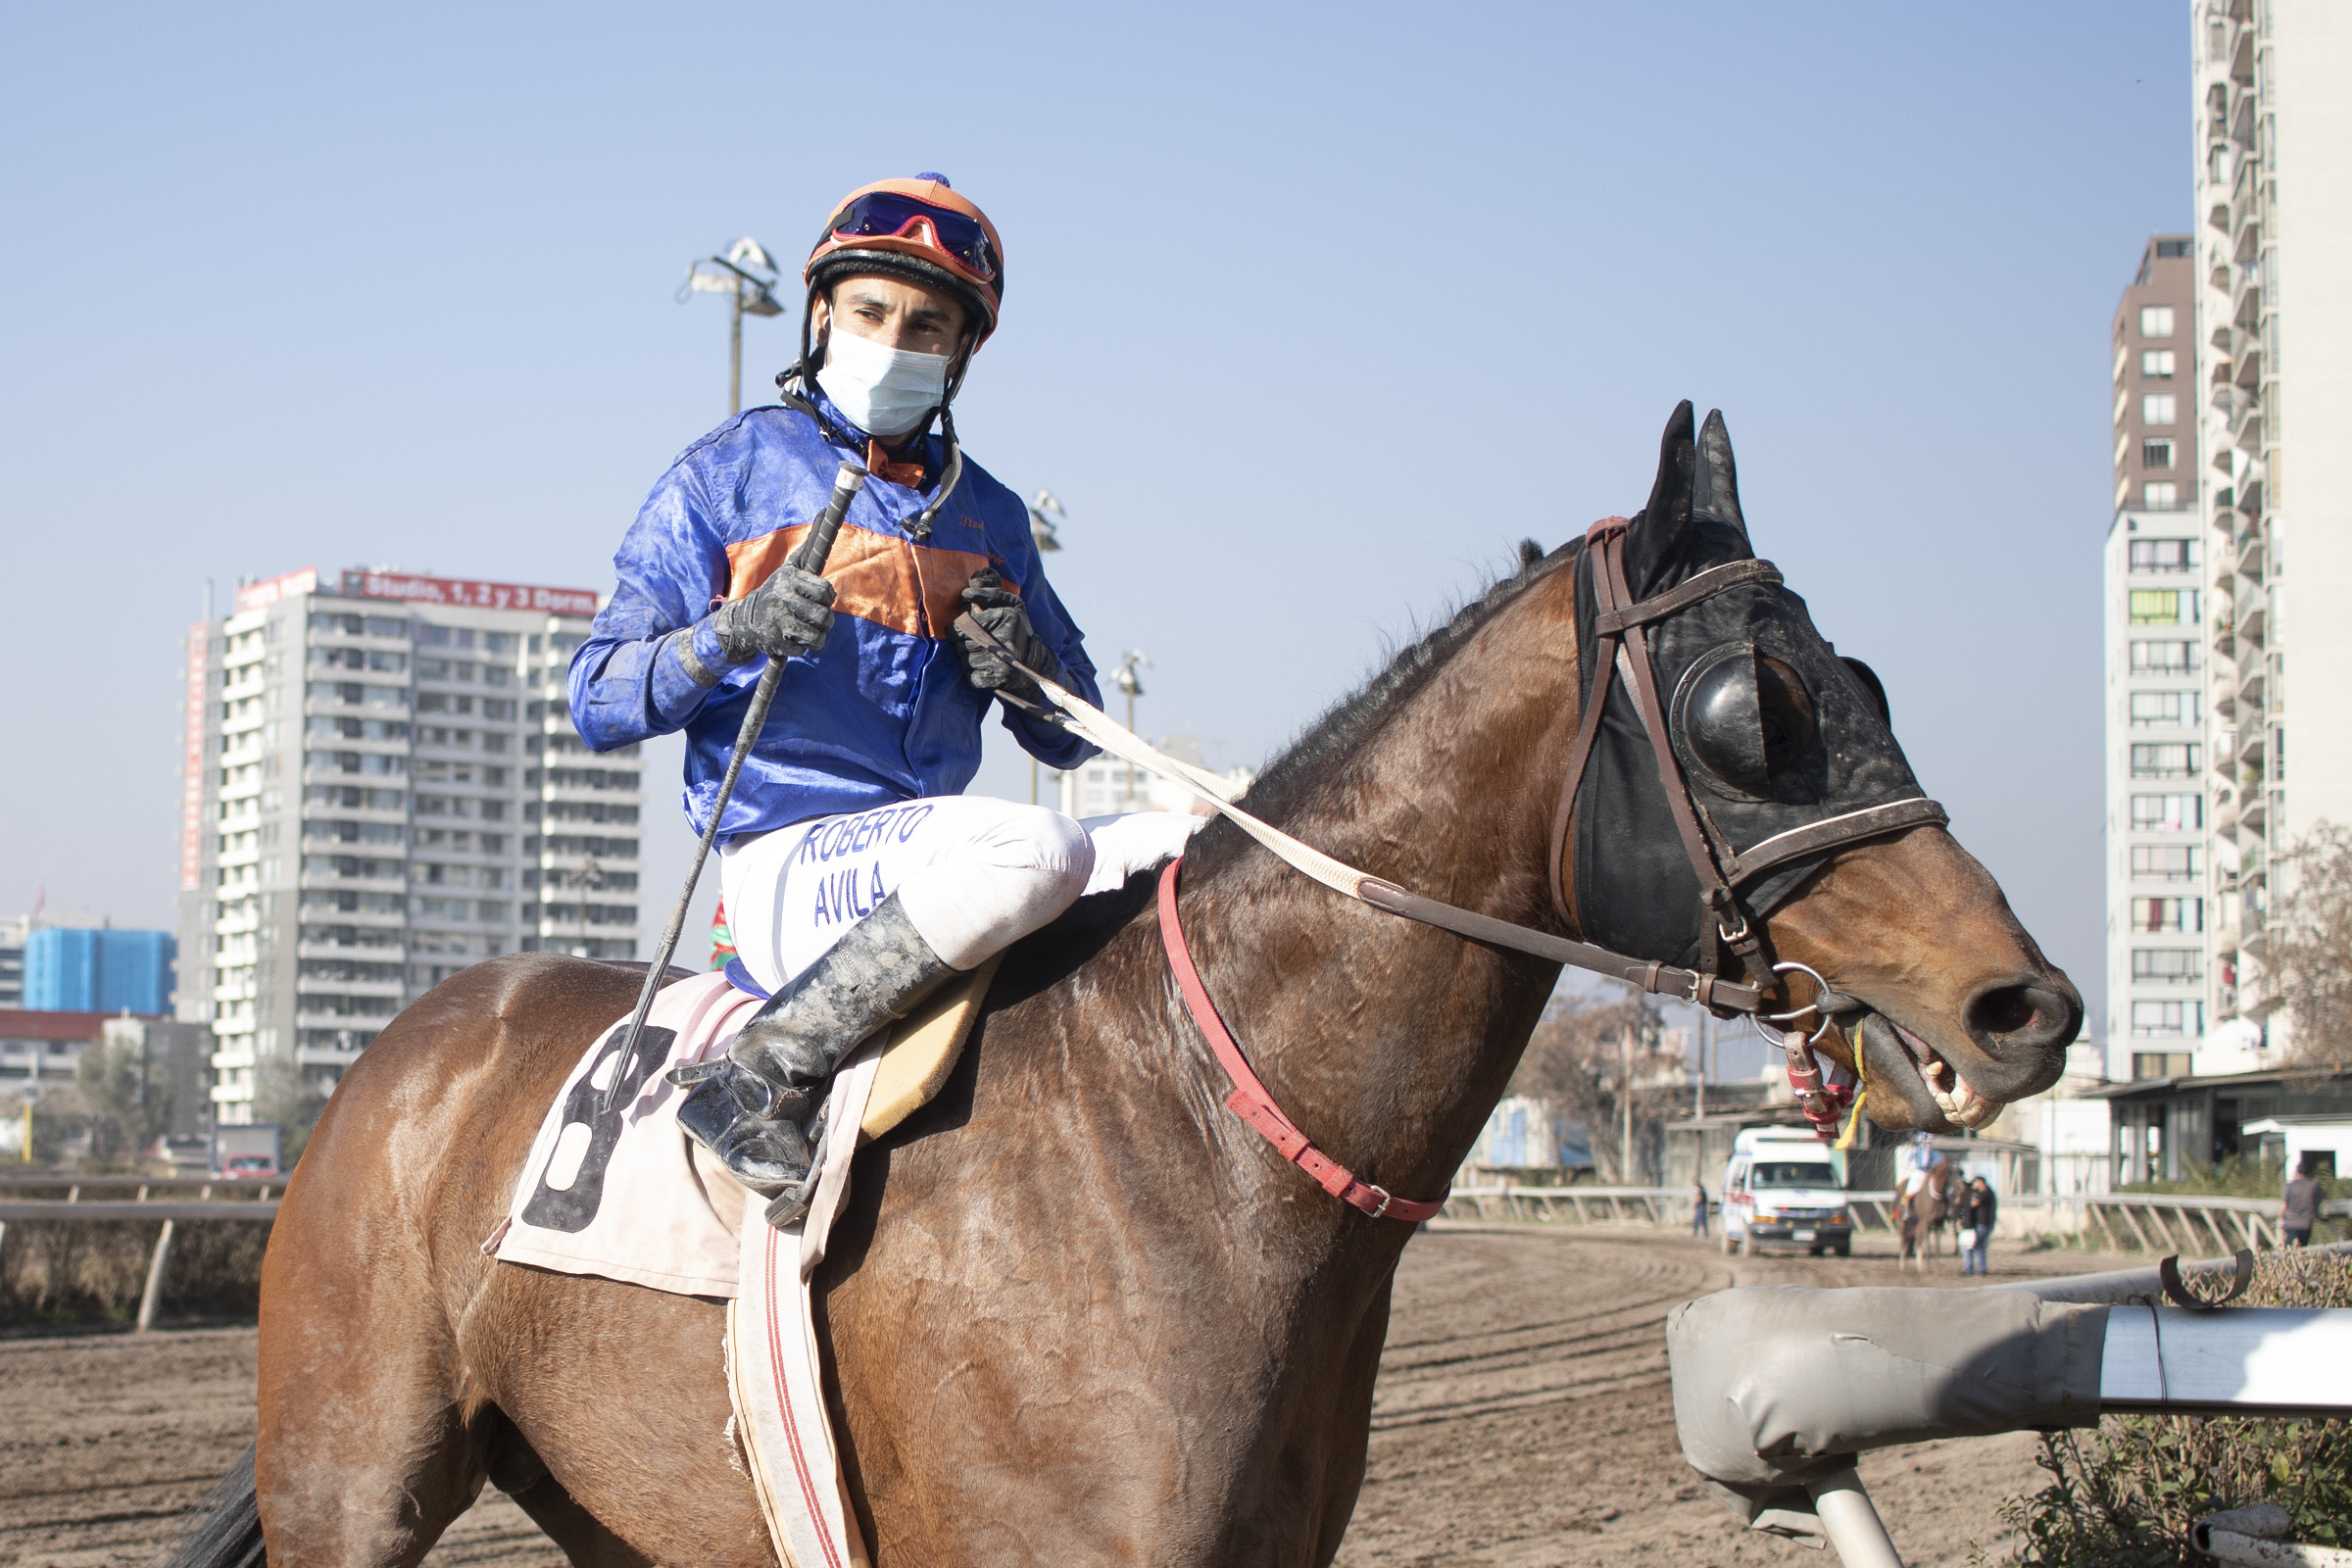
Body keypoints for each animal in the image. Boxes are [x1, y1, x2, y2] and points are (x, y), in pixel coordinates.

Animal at [180, 403, 2082, 1567]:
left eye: (1864, 673)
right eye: (1749, 711)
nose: (2025, 1004)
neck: (1197, 1138)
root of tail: (399, 1051)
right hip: (353, 1482)